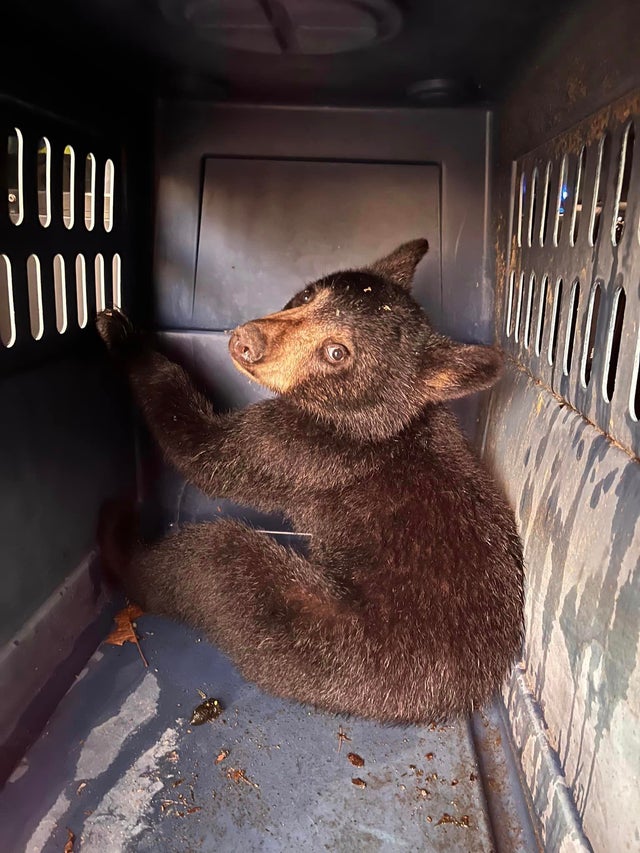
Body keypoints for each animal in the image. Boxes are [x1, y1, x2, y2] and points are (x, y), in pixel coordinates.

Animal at [96, 238, 524, 724]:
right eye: (306, 295)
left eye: (337, 352)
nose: (246, 341)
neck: (373, 419)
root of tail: (459, 694)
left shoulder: (299, 450)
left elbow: (206, 451)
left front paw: (124, 337)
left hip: (316, 636)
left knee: (210, 563)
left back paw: (122, 546)